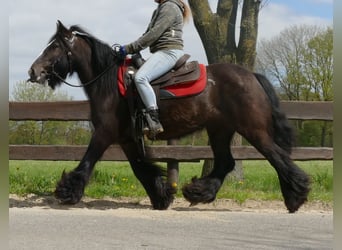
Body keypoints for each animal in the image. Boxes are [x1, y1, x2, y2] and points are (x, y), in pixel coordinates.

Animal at [26, 21, 310, 213]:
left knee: (277, 158)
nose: (33, 71)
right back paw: (198, 192)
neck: (108, 83)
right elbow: (141, 169)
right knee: (226, 163)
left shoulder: (105, 133)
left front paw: (67, 192)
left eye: (55, 47)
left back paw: (295, 197)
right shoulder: (127, 139)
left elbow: (87, 162)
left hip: (253, 130)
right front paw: (161, 196)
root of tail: (252, 76)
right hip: (220, 130)